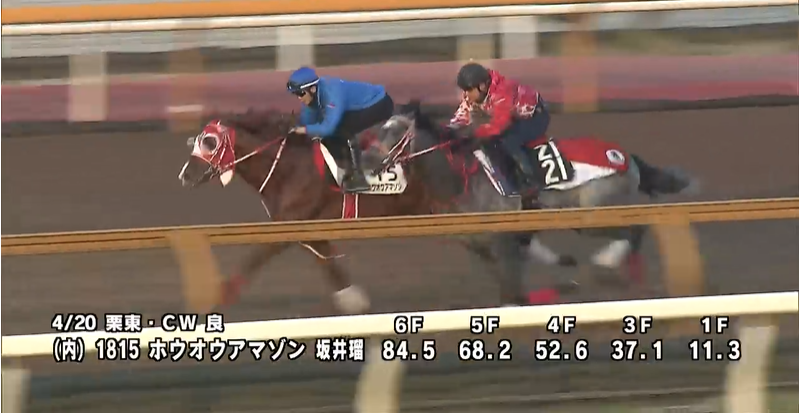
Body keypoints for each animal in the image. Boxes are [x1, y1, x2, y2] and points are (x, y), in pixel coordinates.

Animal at [176, 109, 576, 313]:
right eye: (196, 141)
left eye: (209, 142)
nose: (185, 175)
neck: (288, 165)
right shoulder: (305, 224)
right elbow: (327, 259)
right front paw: (353, 298)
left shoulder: (289, 223)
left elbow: (257, 257)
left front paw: (217, 297)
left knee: (507, 243)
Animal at [371, 101, 701, 293]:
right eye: (380, 129)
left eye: (397, 133)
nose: (369, 162)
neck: (461, 179)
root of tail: (624, 156)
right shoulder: (482, 245)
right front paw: (563, 263)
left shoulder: (502, 239)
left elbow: (513, 286)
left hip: (595, 213)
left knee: (635, 230)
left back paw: (607, 264)